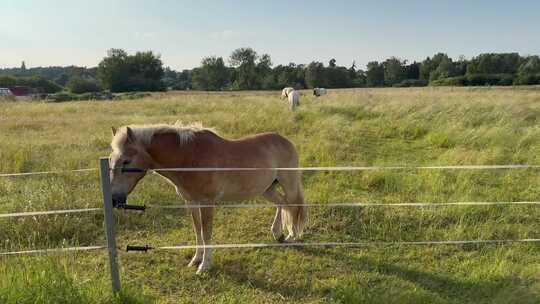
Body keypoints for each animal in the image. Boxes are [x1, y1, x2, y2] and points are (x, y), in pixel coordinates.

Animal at [108, 122, 308, 274]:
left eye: (126, 161)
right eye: (110, 159)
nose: (114, 199)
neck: (189, 158)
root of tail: (285, 141)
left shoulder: (206, 203)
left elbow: (206, 233)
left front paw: (204, 265)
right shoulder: (191, 202)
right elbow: (197, 231)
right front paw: (196, 260)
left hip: (288, 183)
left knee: (294, 207)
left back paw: (291, 236)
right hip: (267, 188)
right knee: (283, 203)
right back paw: (277, 233)